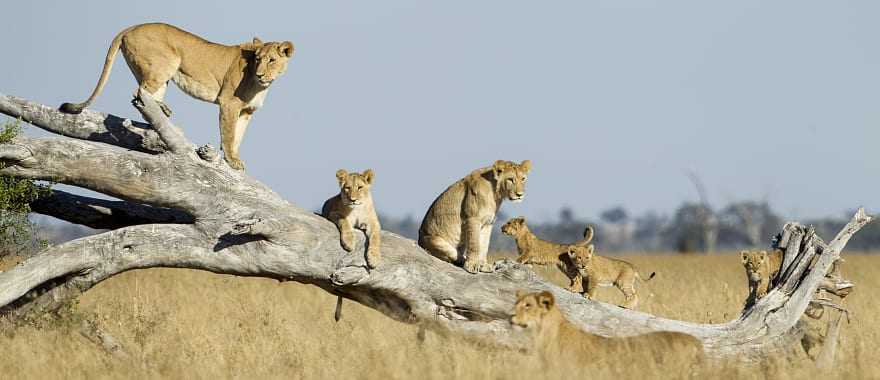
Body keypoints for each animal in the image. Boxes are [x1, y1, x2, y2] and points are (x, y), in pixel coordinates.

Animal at [62, 21, 298, 168]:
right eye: (258, 59)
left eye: (271, 60)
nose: (259, 74)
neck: (262, 85)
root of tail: (132, 27)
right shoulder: (228, 103)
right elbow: (229, 134)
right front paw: (231, 160)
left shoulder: (247, 112)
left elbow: (238, 136)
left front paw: (237, 160)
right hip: (164, 64)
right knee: (139, 91)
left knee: (145, 93)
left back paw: (163, 110)